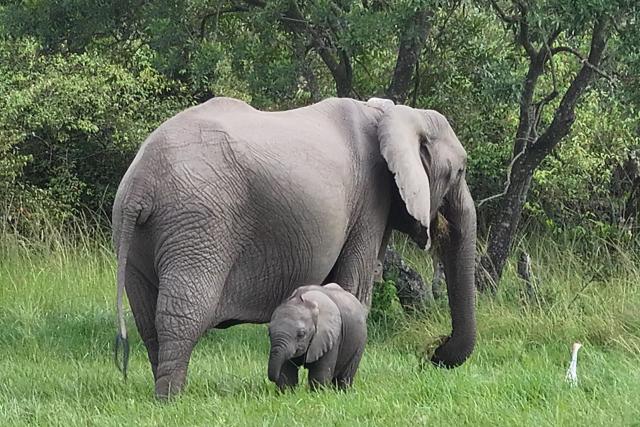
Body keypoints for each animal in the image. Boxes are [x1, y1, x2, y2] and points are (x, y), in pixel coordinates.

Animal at [112, 96, 477, 399]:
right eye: (459, 171)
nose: (432, 353)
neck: (392, 114)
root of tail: (140, 184)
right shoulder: (370, 200)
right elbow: (356, 288)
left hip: (144, 234)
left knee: (147, 317)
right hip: (199, 223)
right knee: (183, 313)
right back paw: (170, 399)